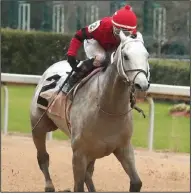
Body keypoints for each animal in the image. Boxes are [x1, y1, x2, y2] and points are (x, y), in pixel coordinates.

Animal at [30, 31, 150, 192]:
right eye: (126, 56)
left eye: (147, 55)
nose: (142, 85)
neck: (109, 109)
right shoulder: (79, 152)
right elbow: (78, 186)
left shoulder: (124, 147)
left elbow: (136, 182)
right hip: (39, 125)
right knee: (43, 157)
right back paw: (49, 186)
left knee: (89, 172)